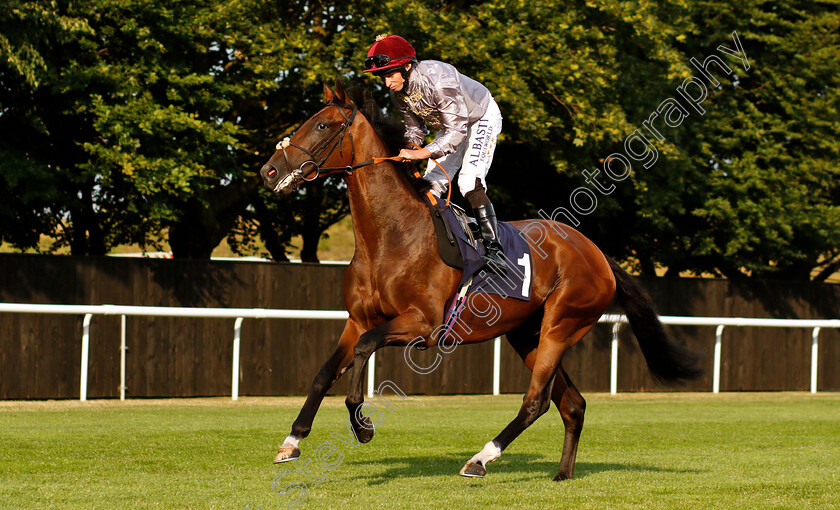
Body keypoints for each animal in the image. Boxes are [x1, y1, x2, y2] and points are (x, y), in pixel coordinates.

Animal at [258, 80, 704, 482]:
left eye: (322, 125)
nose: (269, 171)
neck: (390, 236)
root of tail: (597, 254)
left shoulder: (422, 325)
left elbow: (364, 354)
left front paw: (362, 426)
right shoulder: (357, 320)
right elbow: (323, 372)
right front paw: (291, 442)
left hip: (561, 325)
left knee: (536, 401)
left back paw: (480, 458)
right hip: (527, 334)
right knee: (572, 404)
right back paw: (562, 474)